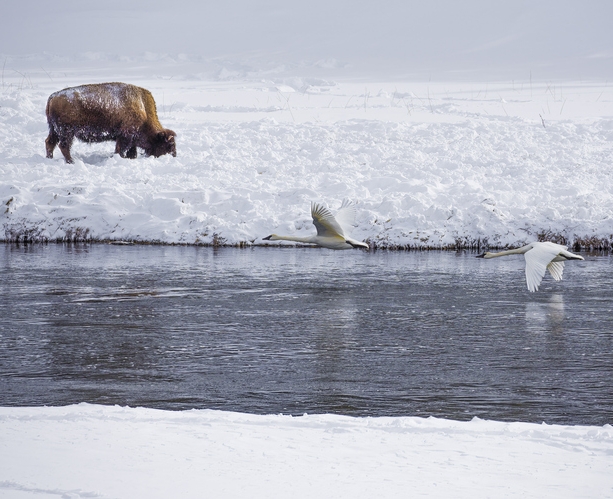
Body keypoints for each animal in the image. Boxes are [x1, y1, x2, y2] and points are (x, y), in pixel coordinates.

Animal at [44, 82, 175, 164]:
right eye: (170, 145)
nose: (174, 155)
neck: (144, 110)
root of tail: (53, 96)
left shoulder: (129, 139)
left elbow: (131, 151)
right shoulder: (125, 137)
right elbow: (120, 150)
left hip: (54, 130)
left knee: (50, 143)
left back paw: (49, 158)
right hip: (66, 132)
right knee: (63, 146)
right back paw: (71, 162)